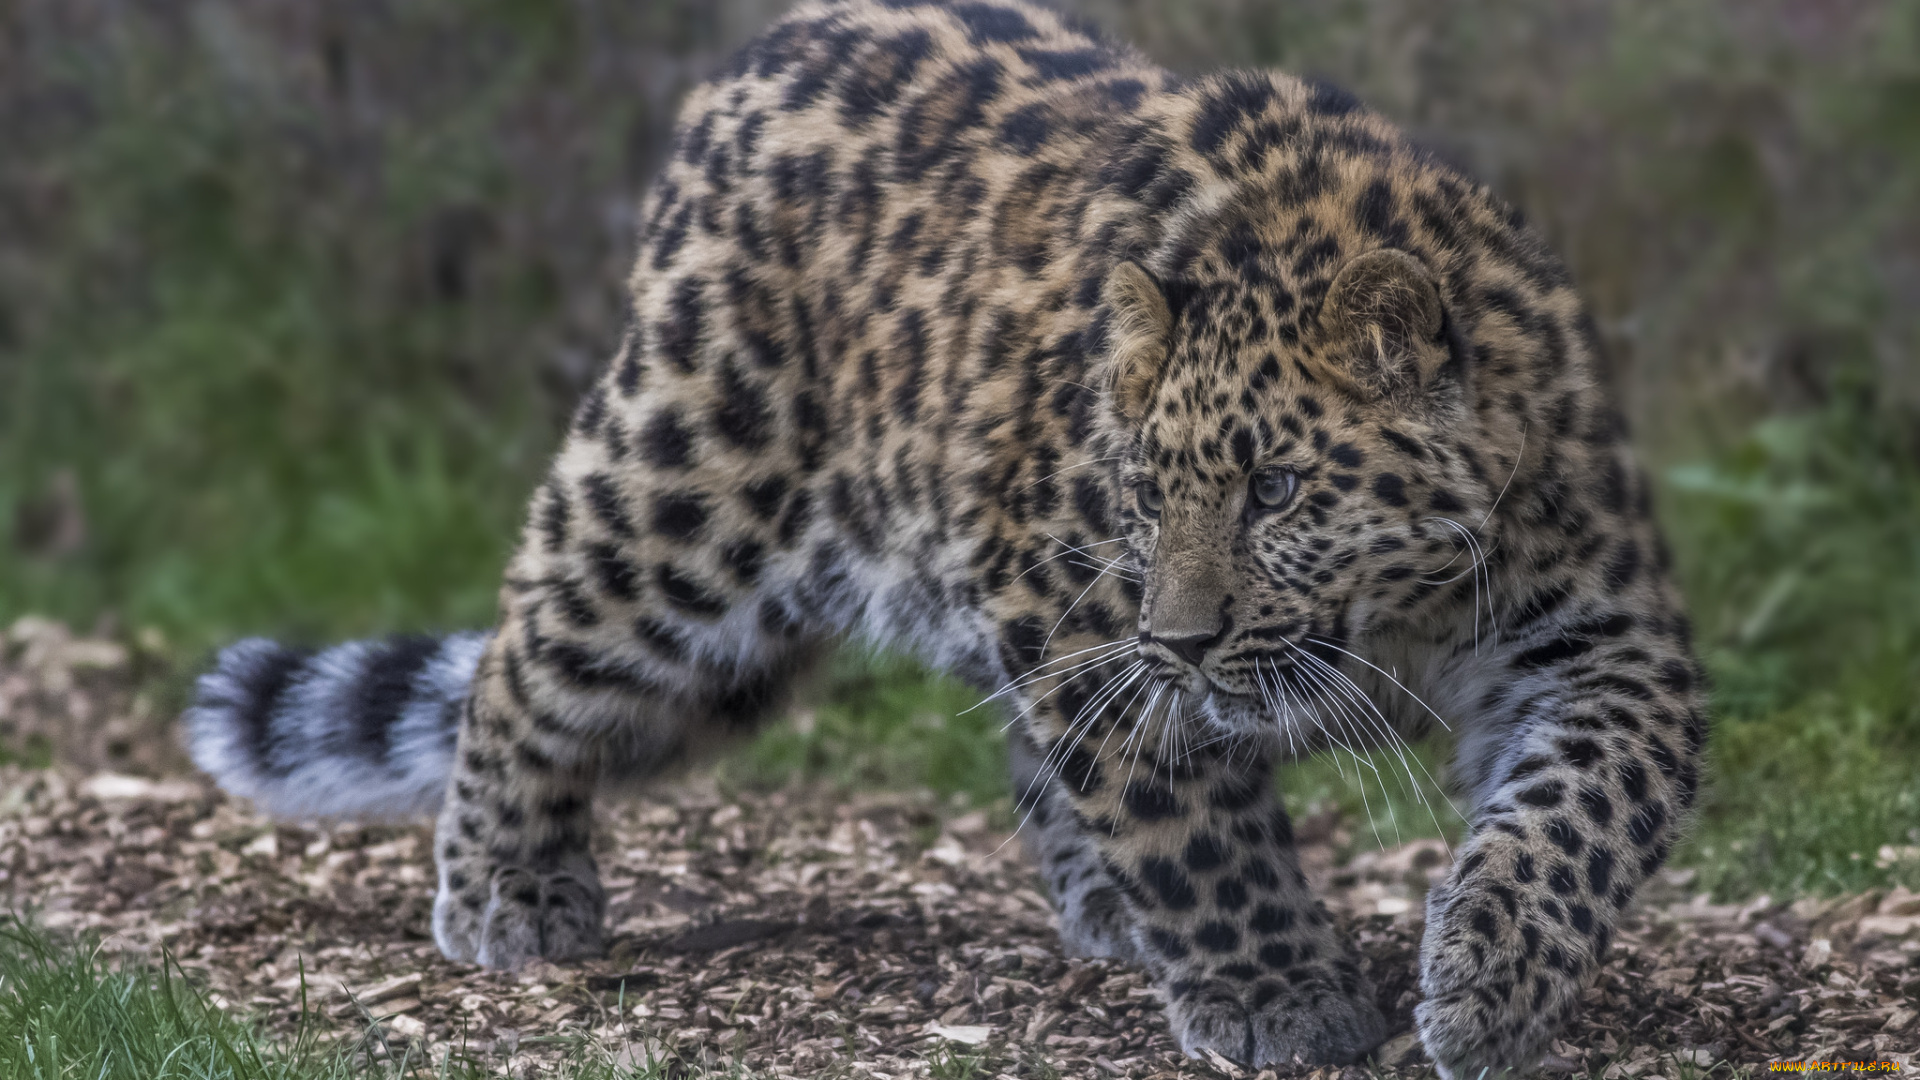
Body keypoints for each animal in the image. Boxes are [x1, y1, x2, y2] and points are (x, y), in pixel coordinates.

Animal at [184, 0, 1706, 1071]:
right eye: (1147, 492)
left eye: (1277, 489)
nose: (1185, 639)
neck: (1401, 617)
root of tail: (760, 57)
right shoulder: (1082, 609)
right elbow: (1194, 829)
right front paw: (1276, 992)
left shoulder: (1606, 638)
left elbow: (1584, 809)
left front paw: (1491, 980)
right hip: (690, 509)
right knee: (532, 647)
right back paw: (507, 891)